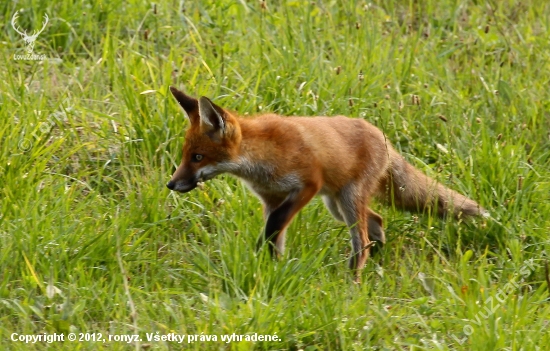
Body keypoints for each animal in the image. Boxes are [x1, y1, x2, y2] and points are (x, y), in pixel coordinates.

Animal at [167, 87, 488, 284]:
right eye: (185, 156)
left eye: (198, 157)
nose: (171, 184)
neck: (261, 158)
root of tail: (381, 135)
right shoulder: (271, 199)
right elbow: (275, 233)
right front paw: (271, 269)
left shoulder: (307, 185)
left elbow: (275, 226)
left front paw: (266, 262)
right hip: (336, 205)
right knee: (376, 220)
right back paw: (378, 257)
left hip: (347, 200)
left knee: (362, 239)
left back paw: (354, 280)